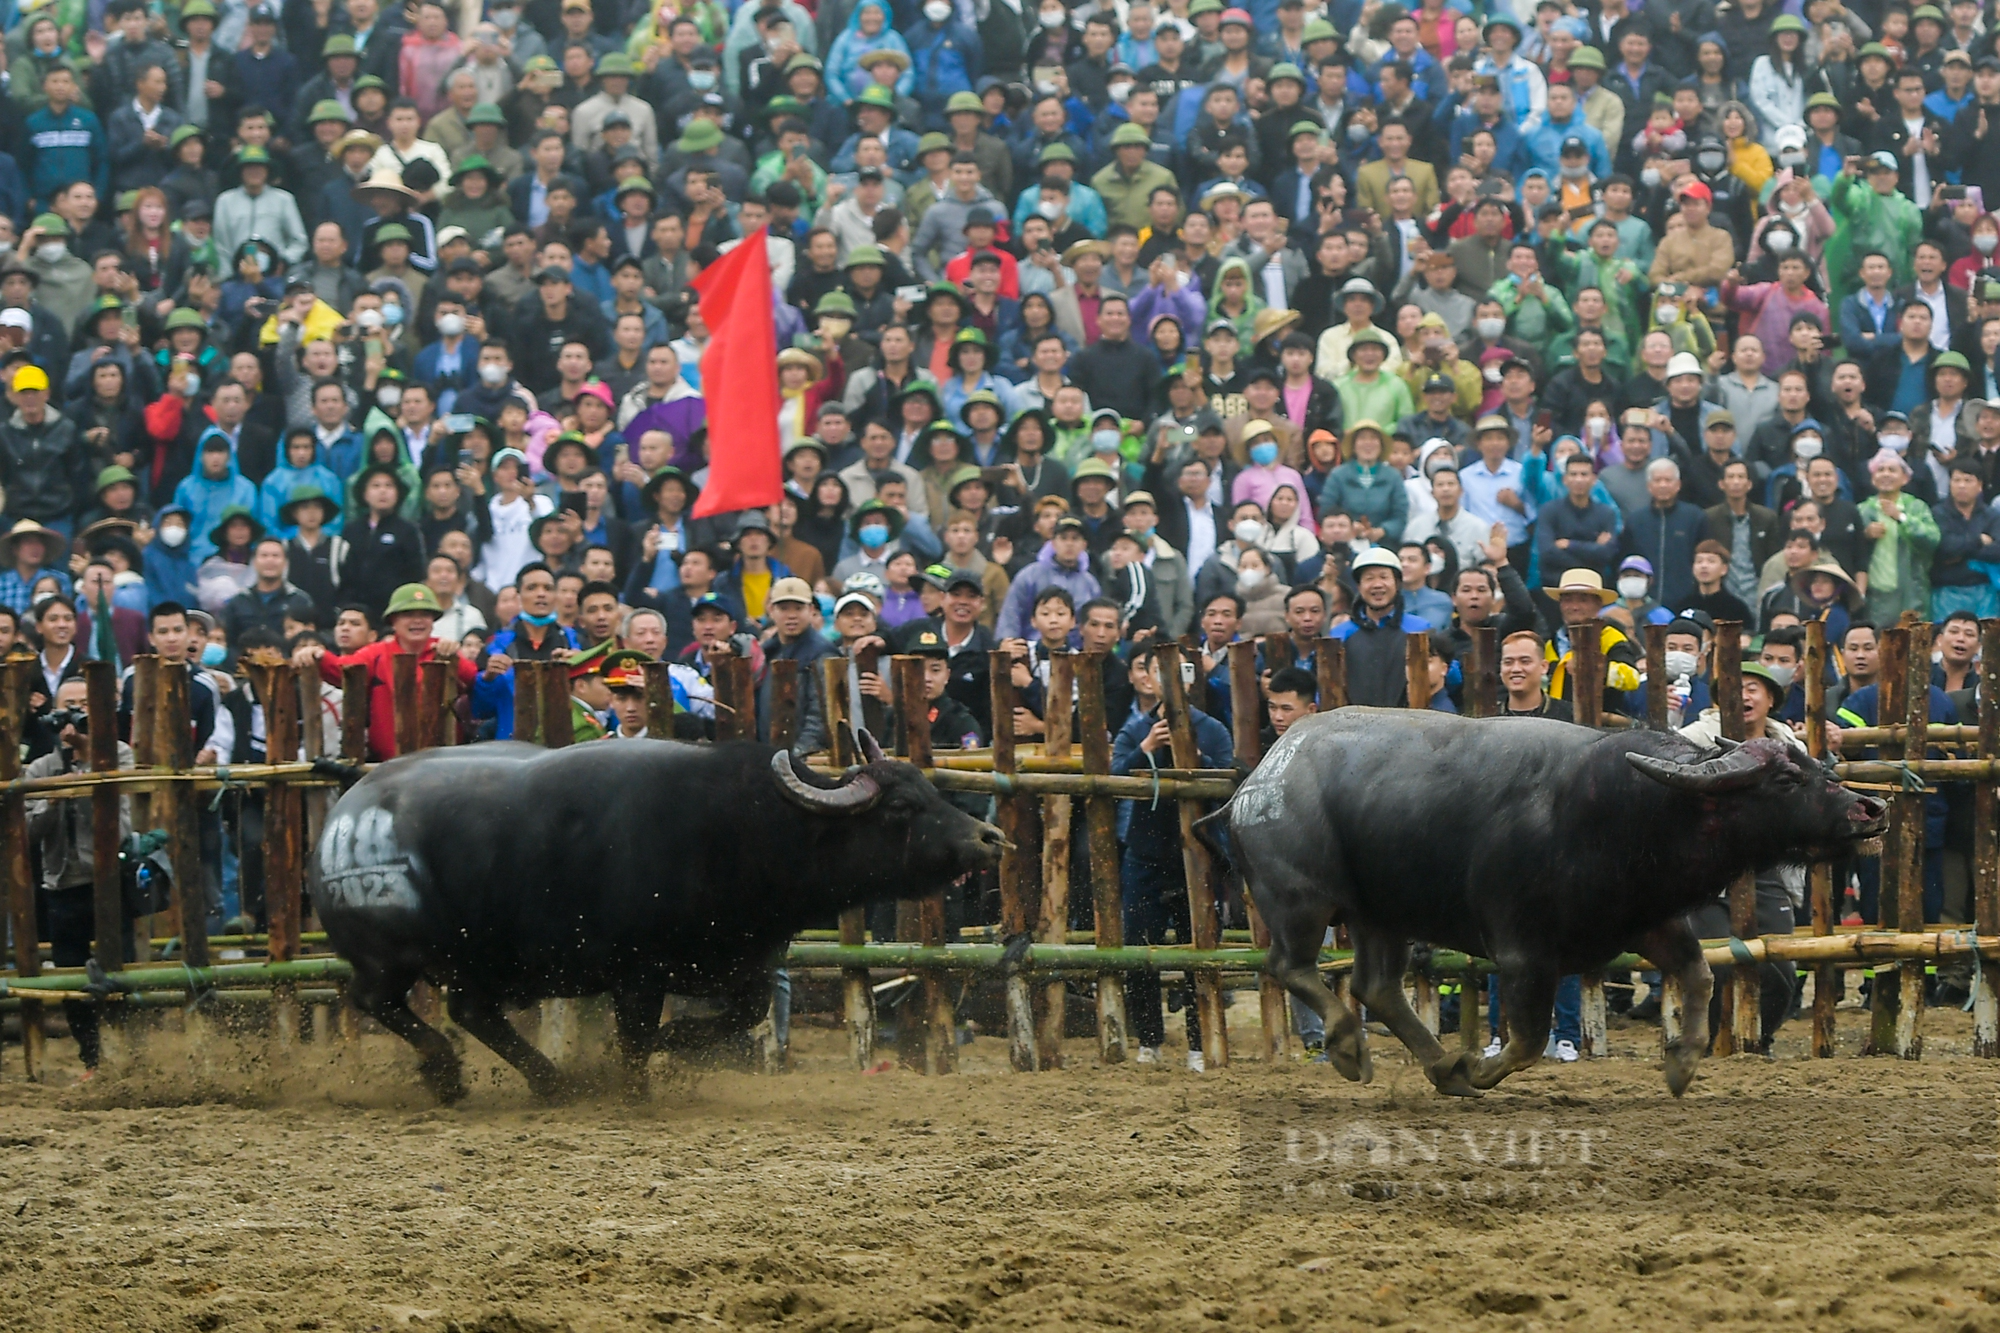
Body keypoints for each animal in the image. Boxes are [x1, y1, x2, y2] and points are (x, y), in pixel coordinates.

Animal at [306, 732, 1008, 1096]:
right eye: (900, 809)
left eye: (928, 787)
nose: (989, 839)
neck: (737, 830)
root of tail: (347, 807)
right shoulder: (637, 974)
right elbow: (639, 1037)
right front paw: (638, 1083)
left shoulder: (741, 965)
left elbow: (739, 1016)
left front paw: (679, 1050)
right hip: (389, 956)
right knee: (381, 1003)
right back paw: (448, 1073)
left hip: (477, 960)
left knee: (472, 1012)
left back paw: (549, 1080)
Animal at [1208, 712, 1880, 1096]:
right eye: (1786, 780)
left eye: (1817, 765)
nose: (1871, 809)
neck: (1629, 808)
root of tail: (1258, 781)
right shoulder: (1521, 951)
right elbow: (1528, 1040)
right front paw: (1479, 1069)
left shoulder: (1648, 922)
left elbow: (1698, 976)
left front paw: (1682, 1064)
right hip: (1301, 899)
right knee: (1291, 967)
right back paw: (1354, 1049)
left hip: (1381, 914)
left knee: (1375, 985)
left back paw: (1440, 1068)